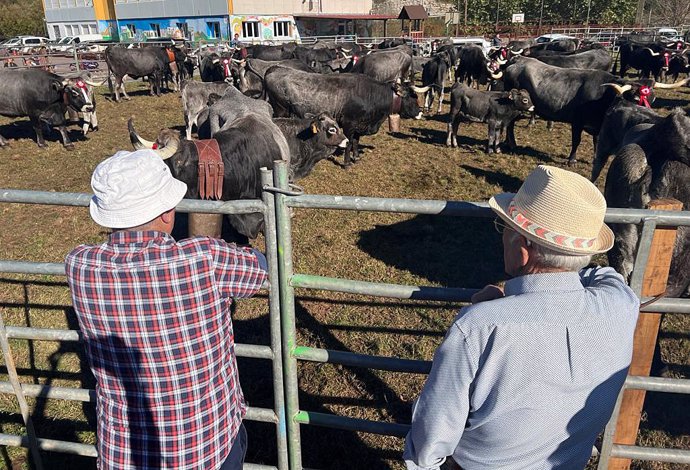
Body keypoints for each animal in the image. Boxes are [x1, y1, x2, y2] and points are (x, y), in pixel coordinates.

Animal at [264, 64, 424, 167]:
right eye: (413, 96)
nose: (420, 113)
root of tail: (276, 68)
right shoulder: (349, 124)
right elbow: (349, 142)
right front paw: (347, 163)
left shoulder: (359, 124)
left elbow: (356, 141)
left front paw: (356, 157)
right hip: (281, 109)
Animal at [500, 57, 688, 165]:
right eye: (635, 98)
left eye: (652, 99)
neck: (602, 96)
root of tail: (517, 60)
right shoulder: (577, 121)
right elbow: (576, 141)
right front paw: (572, 160)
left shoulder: (598, 126)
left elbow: (596, 141)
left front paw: (593, 156)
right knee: (510, 124)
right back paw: (512, 143)